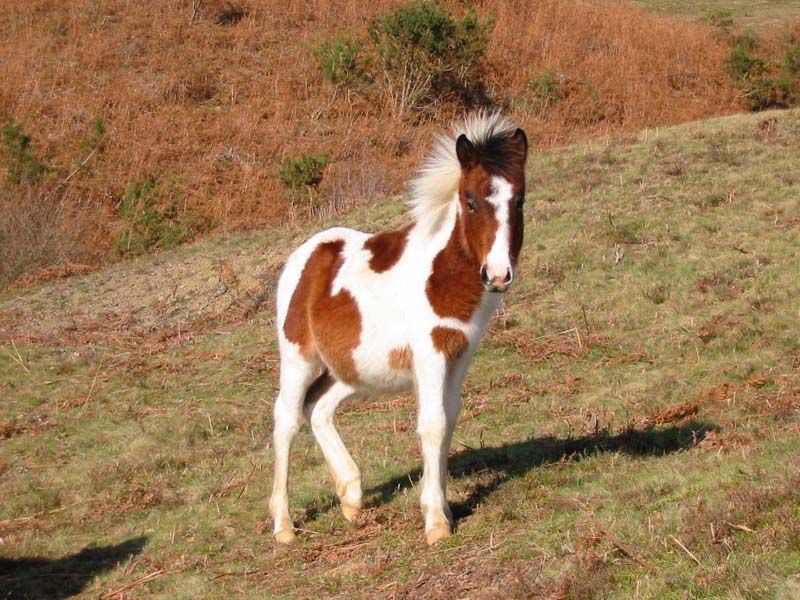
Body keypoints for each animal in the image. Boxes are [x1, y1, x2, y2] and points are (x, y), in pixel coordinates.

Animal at [272, 111, 528, 544]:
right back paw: (284, 526)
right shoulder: (430, 354)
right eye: (470, 200)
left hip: (352, 367)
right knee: (286, 419)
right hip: (297, 358)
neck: (442, 276)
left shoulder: (459, 355)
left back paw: (351, 497)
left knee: (318, 406)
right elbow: (433, 424)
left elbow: (448, 418)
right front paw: (436, 523)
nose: (497, 275)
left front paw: (443, 507)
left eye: (520, 200)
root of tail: (303, 255)